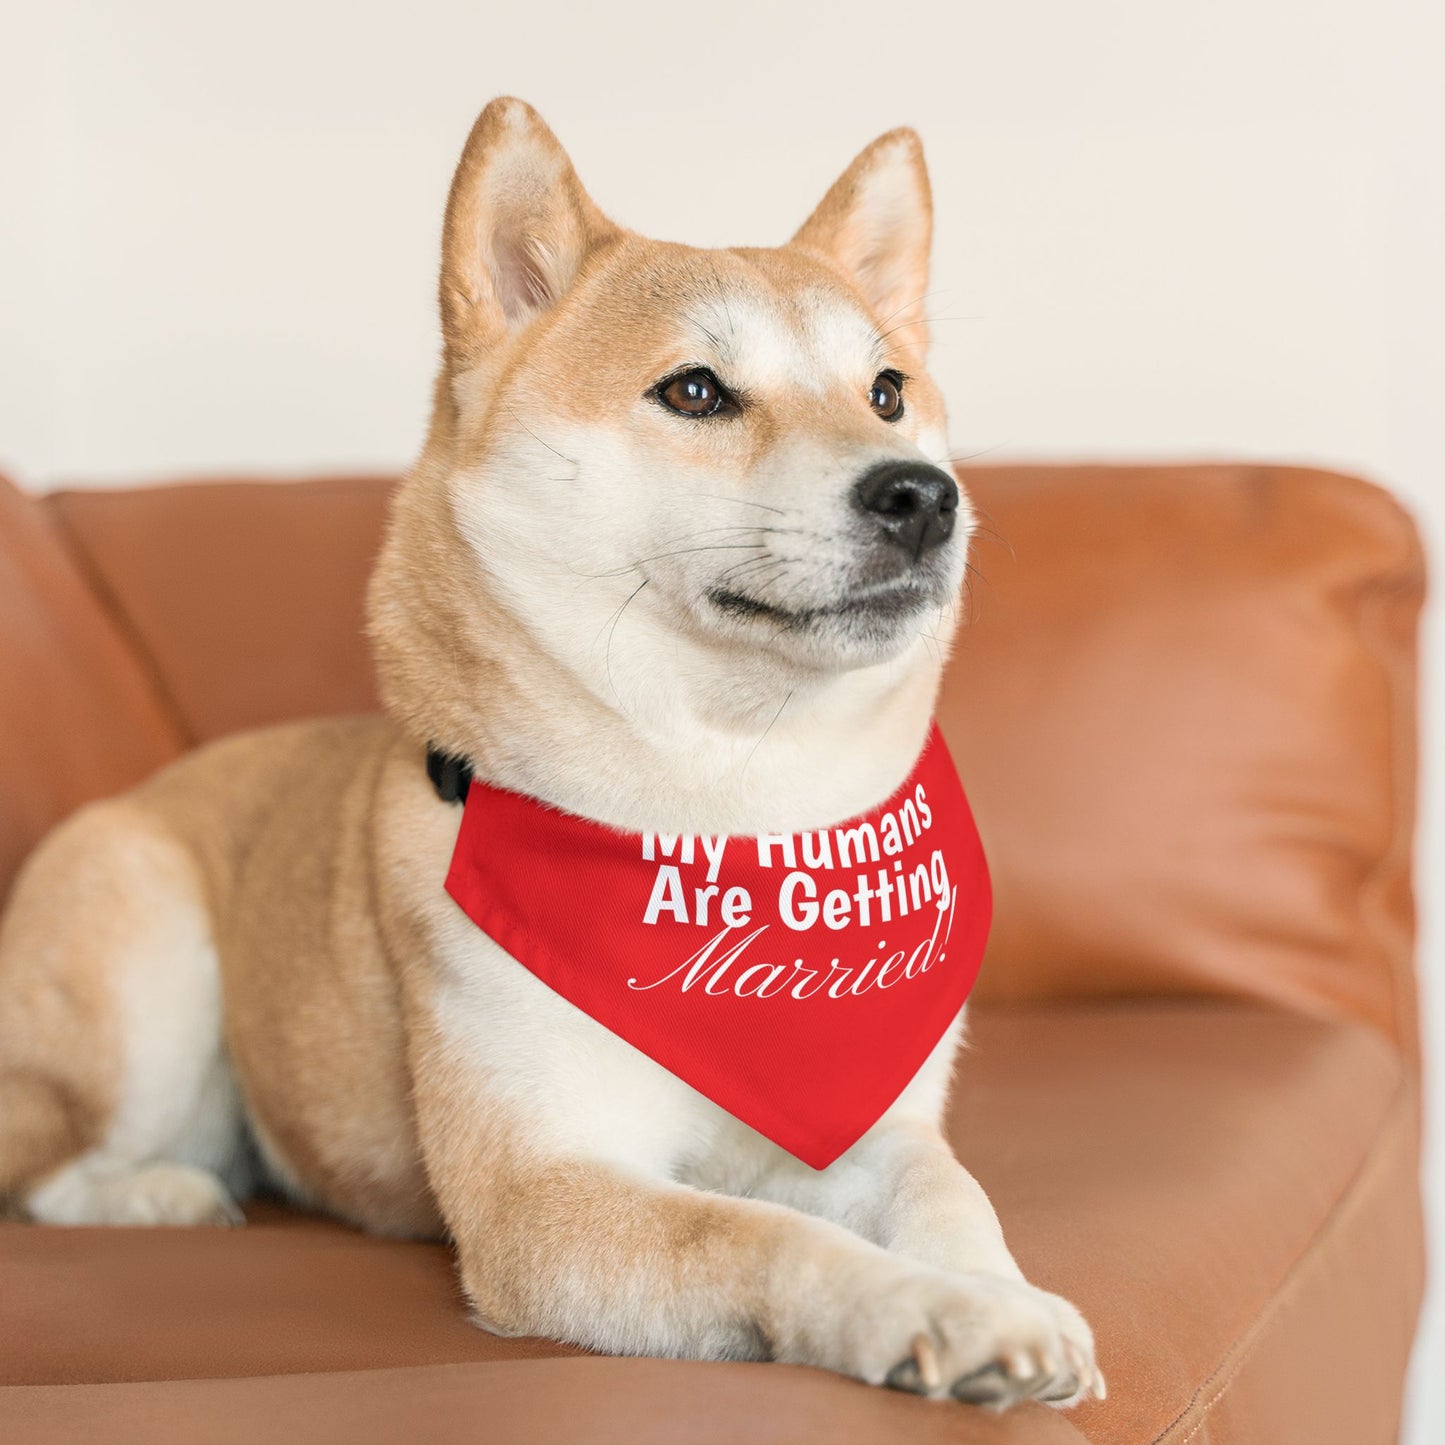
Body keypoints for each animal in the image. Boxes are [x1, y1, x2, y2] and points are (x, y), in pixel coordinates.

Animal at [0, 101, 1098, 1410]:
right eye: (694, 389)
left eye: (886, 390)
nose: (923, 496)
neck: (728, 816)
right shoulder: (541, 1194)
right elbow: (762, 1234)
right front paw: (929, 1308)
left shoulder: (873, 1124)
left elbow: (948, 1192)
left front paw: (997, 1292)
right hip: (145, 962)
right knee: (48, 1166)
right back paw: (161, 1192)